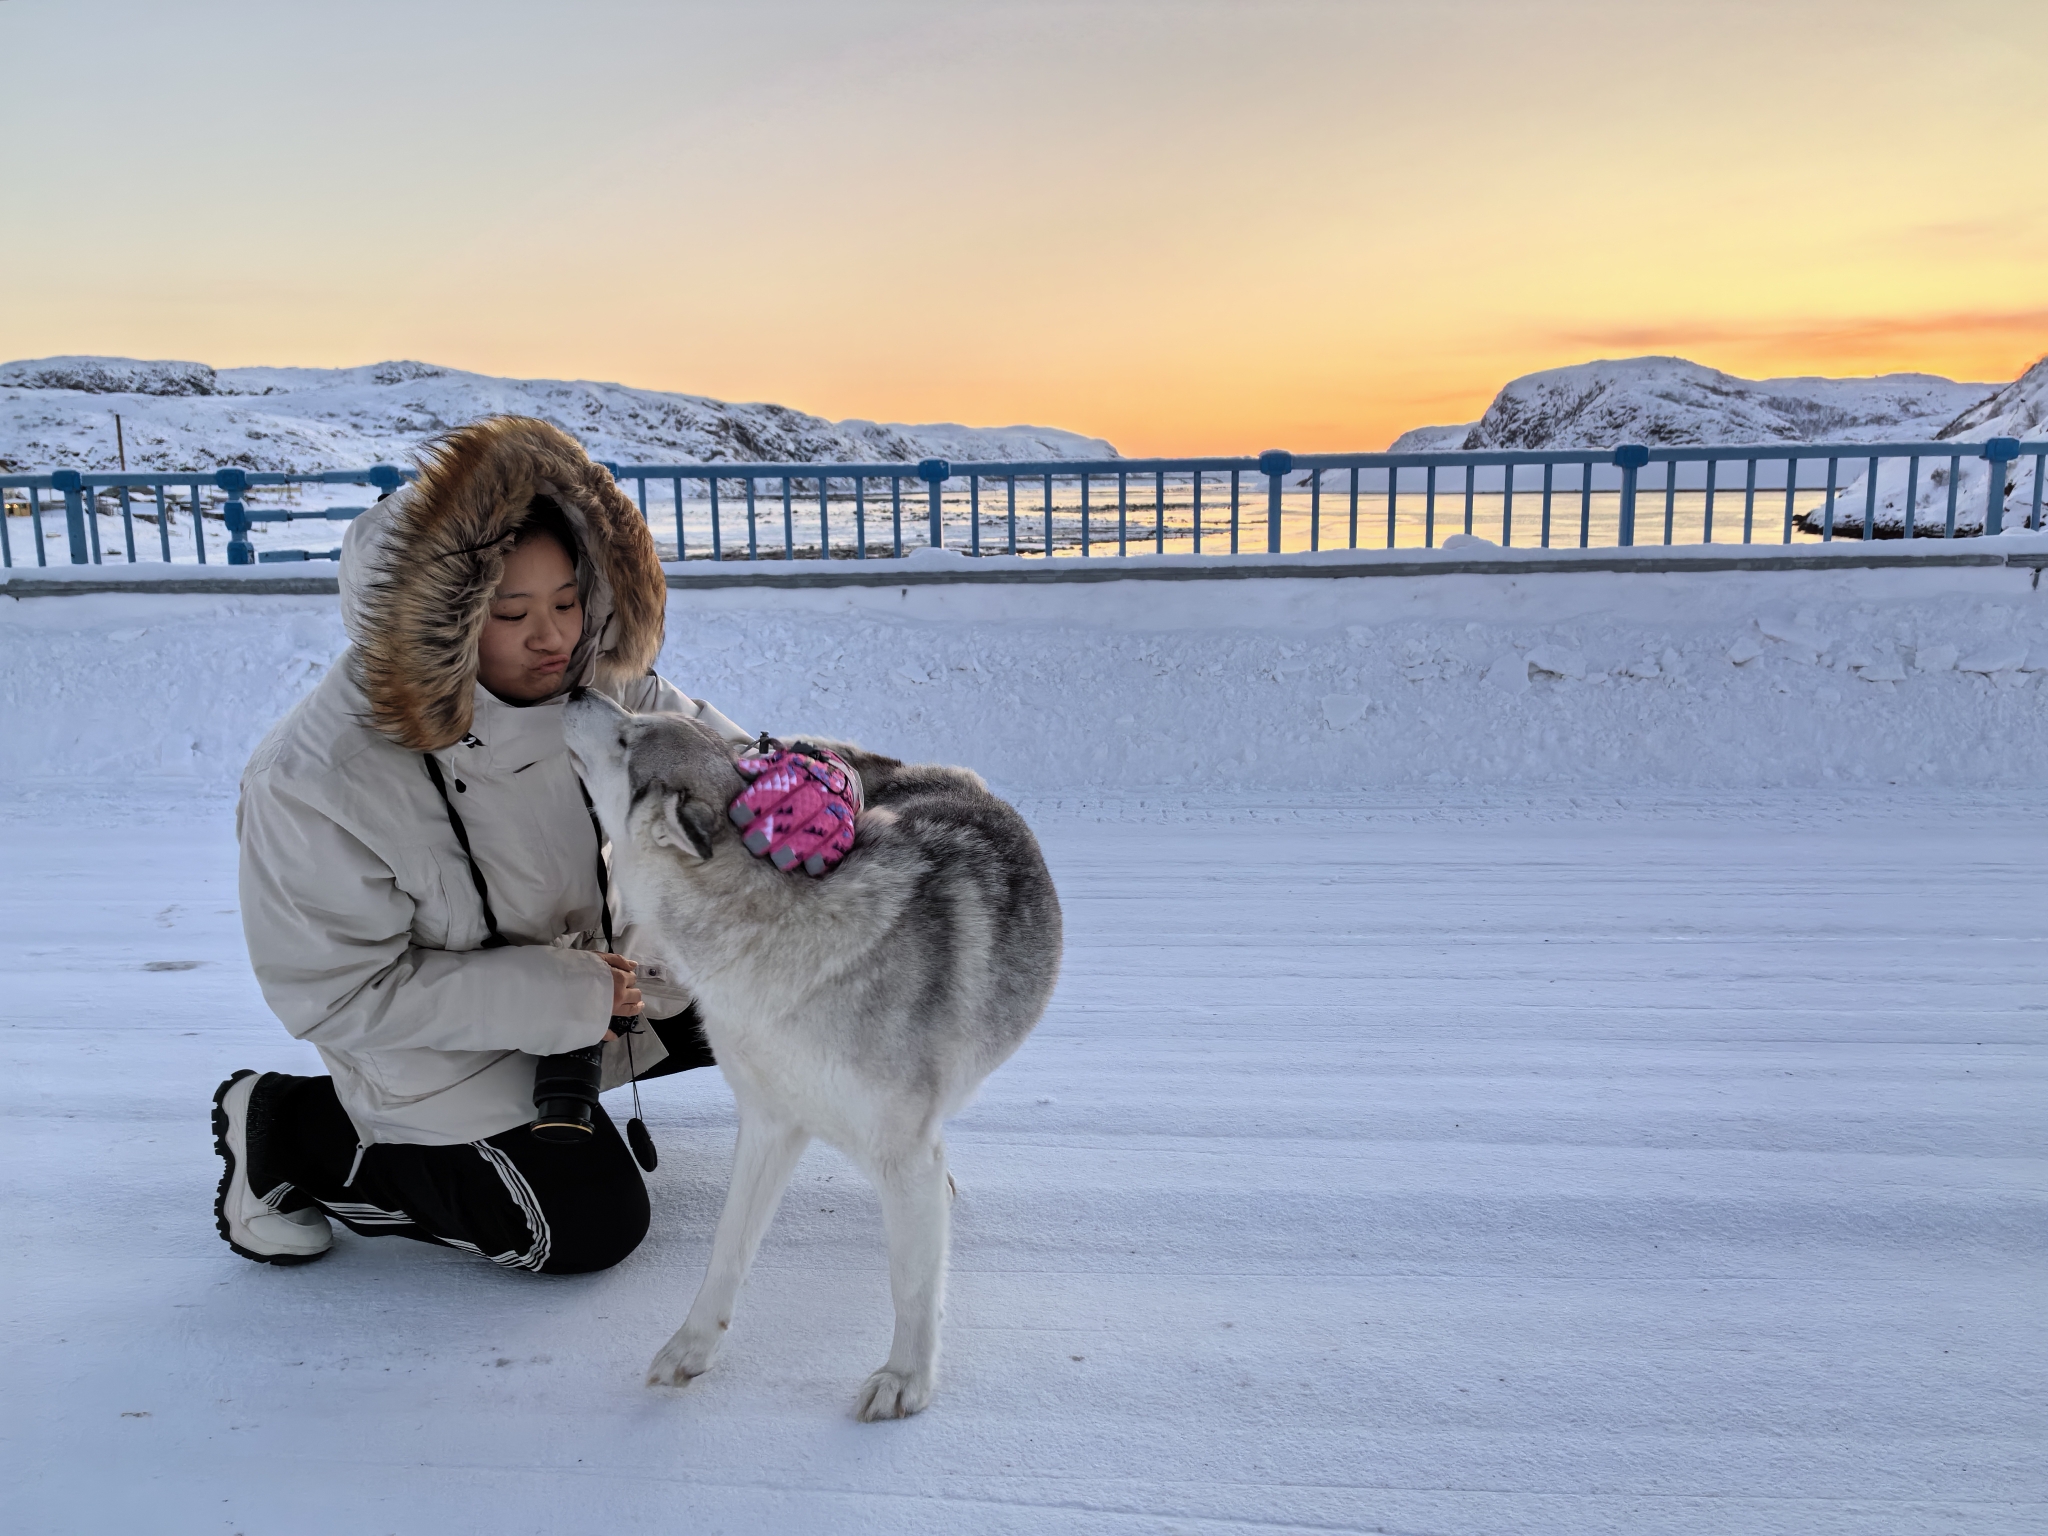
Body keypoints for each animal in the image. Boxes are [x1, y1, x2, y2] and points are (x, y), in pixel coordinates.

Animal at [565, 696, 1064, 1417]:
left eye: (630, 734)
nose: (578, 692)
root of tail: (920, 770)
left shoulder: (900, 1151)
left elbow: (912, 1284)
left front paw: (906, 1380)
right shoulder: (769, 1125)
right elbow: (728, 1250)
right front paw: (692, 1348)